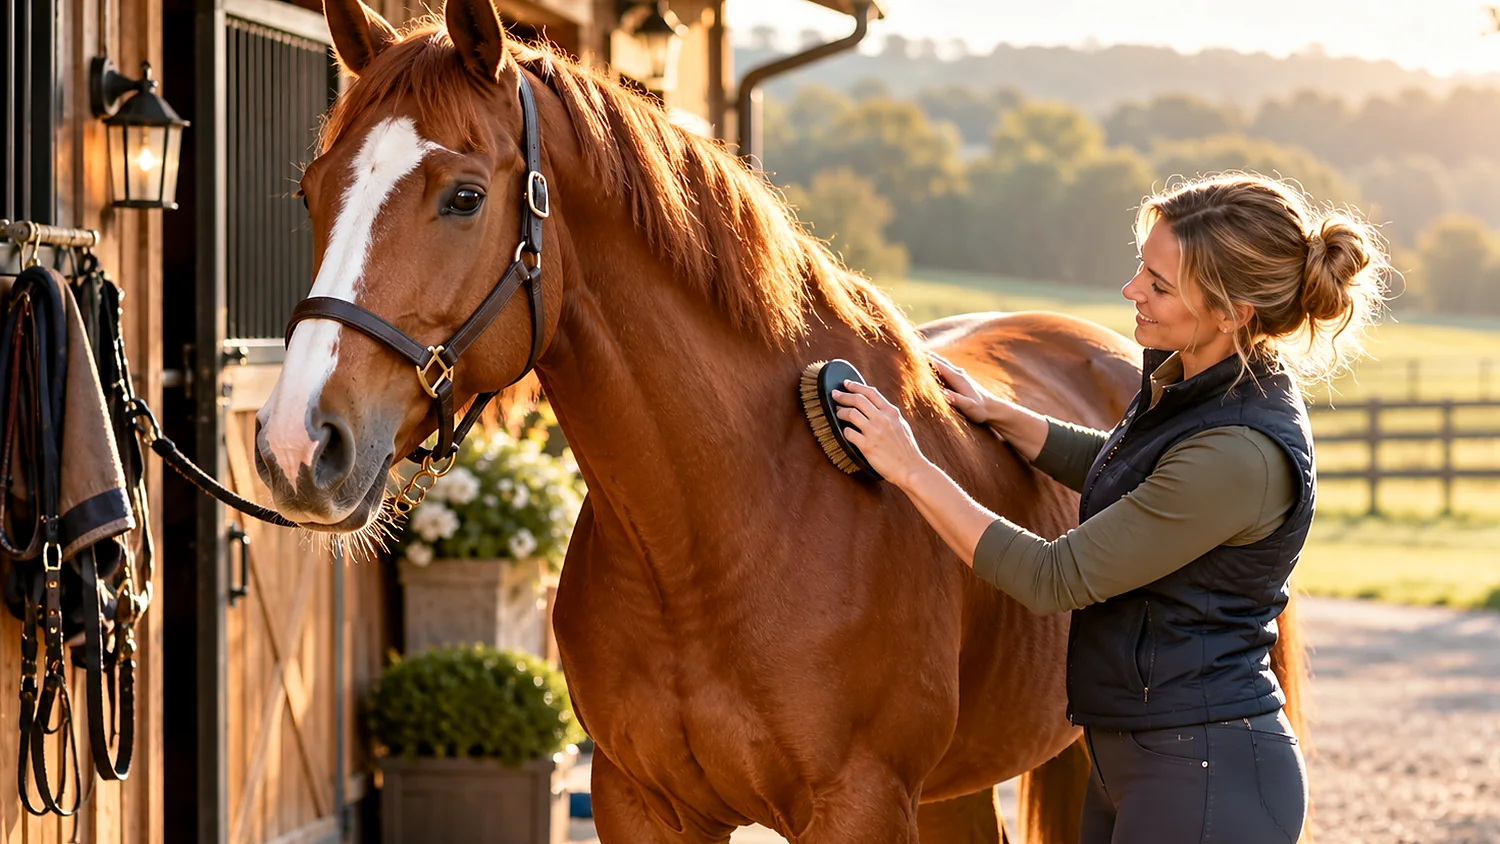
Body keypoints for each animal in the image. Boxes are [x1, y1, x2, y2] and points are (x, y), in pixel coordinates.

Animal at [253, 0, 1308, 840]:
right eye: (309, 191)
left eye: (464, 197)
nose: (299, 445)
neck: (729, 522)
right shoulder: (643, 804)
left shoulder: (859, 805)